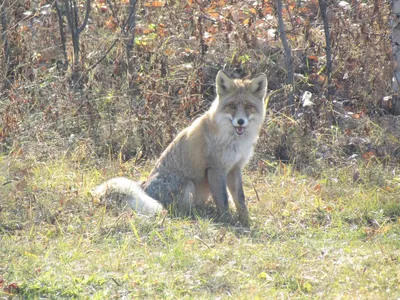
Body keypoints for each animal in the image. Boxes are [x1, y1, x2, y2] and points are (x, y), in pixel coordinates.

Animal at [92, 70, 268, 225]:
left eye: (248, 106)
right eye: (231, 106)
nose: (240, 122)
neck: (234, 141)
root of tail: (144, 188)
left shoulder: (235, 167)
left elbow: (240, 198)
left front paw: (246, 220)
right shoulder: (216, 169)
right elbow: (223, 200)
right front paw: (228, 220)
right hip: (187, 184)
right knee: (177, 210)